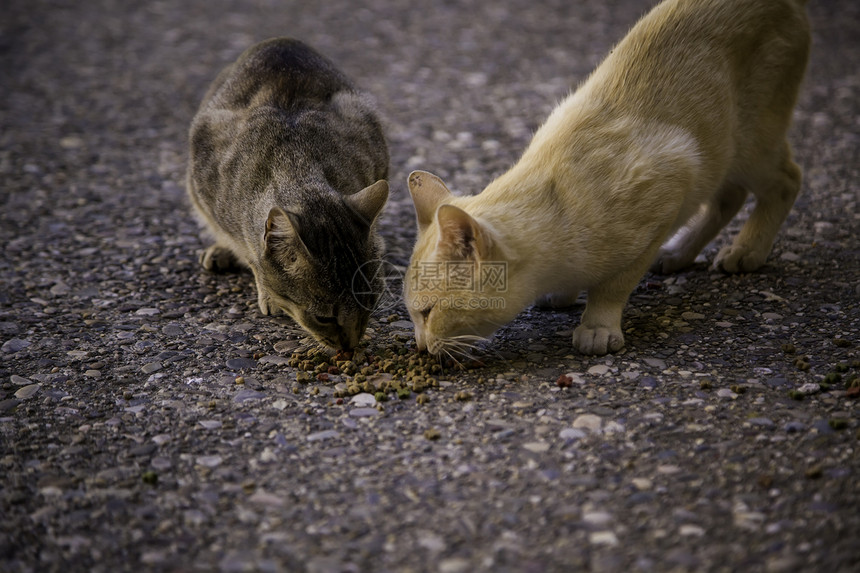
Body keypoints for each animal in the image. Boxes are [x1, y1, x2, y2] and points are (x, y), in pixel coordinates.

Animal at [191, 39, 390, 348]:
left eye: (371, 303)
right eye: (324, 318)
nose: (351, 347)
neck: (297, 163)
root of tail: (281, 41)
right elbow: (252, 256)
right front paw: (267, 292)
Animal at [404, 0, 808, 356]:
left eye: (427, 312)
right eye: (412, 315)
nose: (420, 347)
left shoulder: (669, 186)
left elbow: (614, 285)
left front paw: (597, 326)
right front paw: (564, 295)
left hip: (748, 144)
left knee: (785, 181)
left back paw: (746, 249)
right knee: (730, 196)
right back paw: (679, 252)